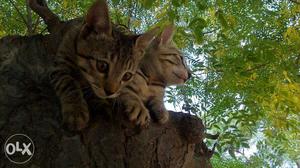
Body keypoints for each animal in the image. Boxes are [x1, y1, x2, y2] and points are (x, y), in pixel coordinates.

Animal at [50, 0, 157, 131]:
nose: (110, 92)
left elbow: (126, 89)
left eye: (127, 76)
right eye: (102, 66)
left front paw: (137, 104)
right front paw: (76, 109)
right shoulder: (59, 66)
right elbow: (68, 83)